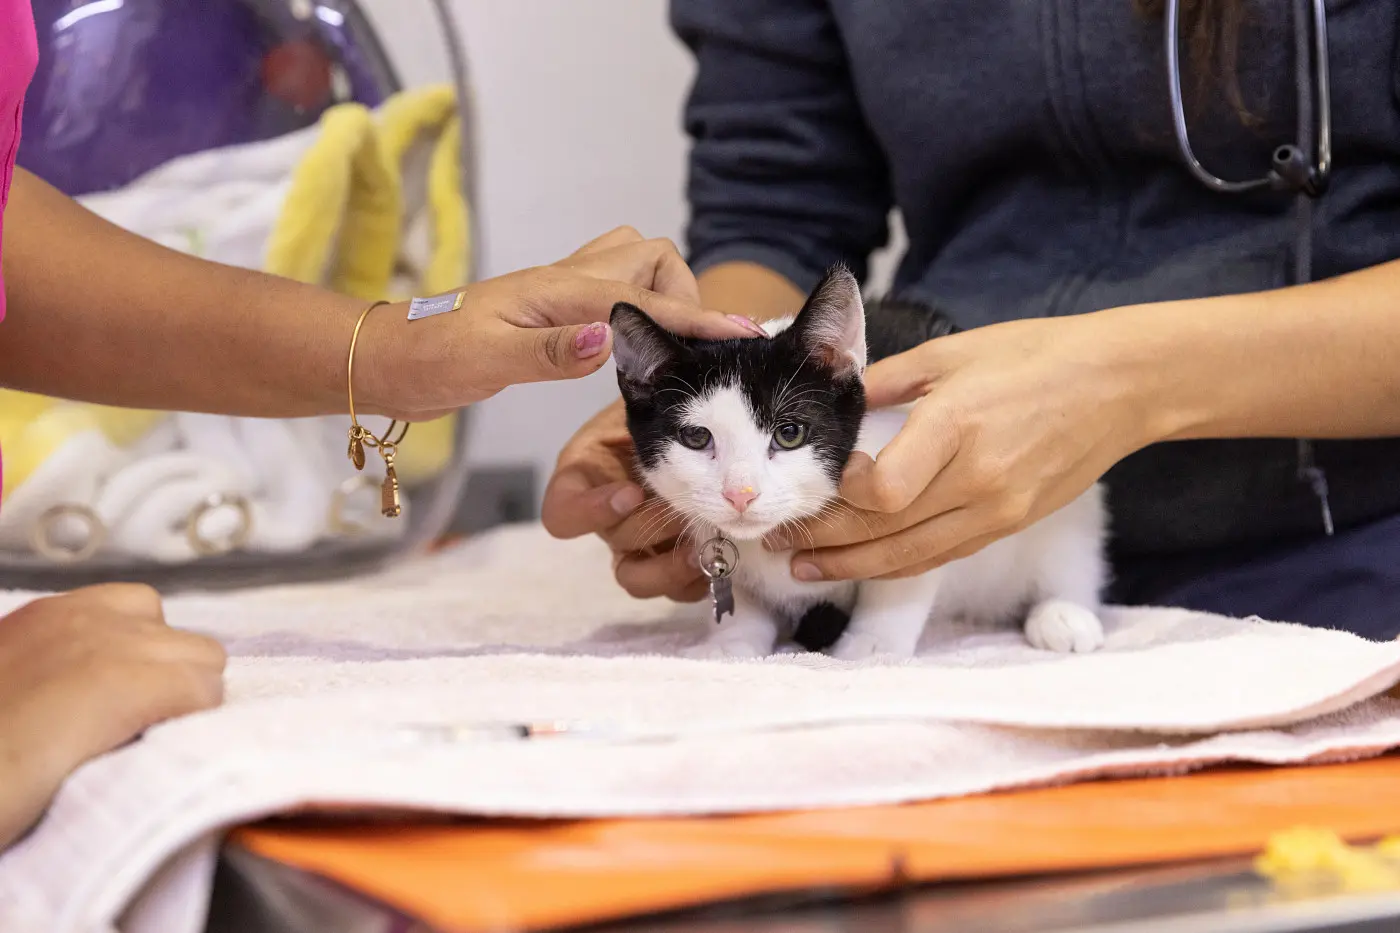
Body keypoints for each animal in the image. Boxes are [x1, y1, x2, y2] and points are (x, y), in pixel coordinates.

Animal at [610, 264, 1103, 658]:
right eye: (696, 437)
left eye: (789, 434)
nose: (740, 494)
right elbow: (740, 592)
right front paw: (731, 642)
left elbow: (902, 575)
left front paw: (870, 646)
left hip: (1070, 510)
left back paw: (1063, 612)